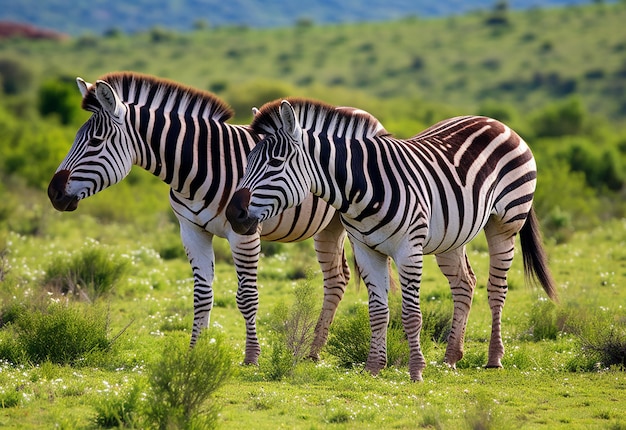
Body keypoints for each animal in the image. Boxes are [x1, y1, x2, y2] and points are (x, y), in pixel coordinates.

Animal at [47, 73, 354, 362]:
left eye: (95, 142)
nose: (53, 193)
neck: (198, 169)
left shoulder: (244, 232)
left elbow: (247, 296)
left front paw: (251, 356)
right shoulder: (191, 230)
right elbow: (202, 294)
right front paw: (196, 350)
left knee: (336, 278)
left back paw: (314, 351)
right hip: (328, 227)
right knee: (337, 278)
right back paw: (314, 351)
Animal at [225, 99, 556, 382]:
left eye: (275, 162)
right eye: (247, 161)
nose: (232, 213)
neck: (361, 187)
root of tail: (496, 122)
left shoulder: (408, 249)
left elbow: (411, 315)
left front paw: (416, 370)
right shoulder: (365, 249)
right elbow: (378, 312)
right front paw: (374, 367)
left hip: (506, 223)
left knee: (497, 289)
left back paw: (494, 358)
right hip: (453, 234)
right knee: (465, 284)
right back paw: (451, 357)